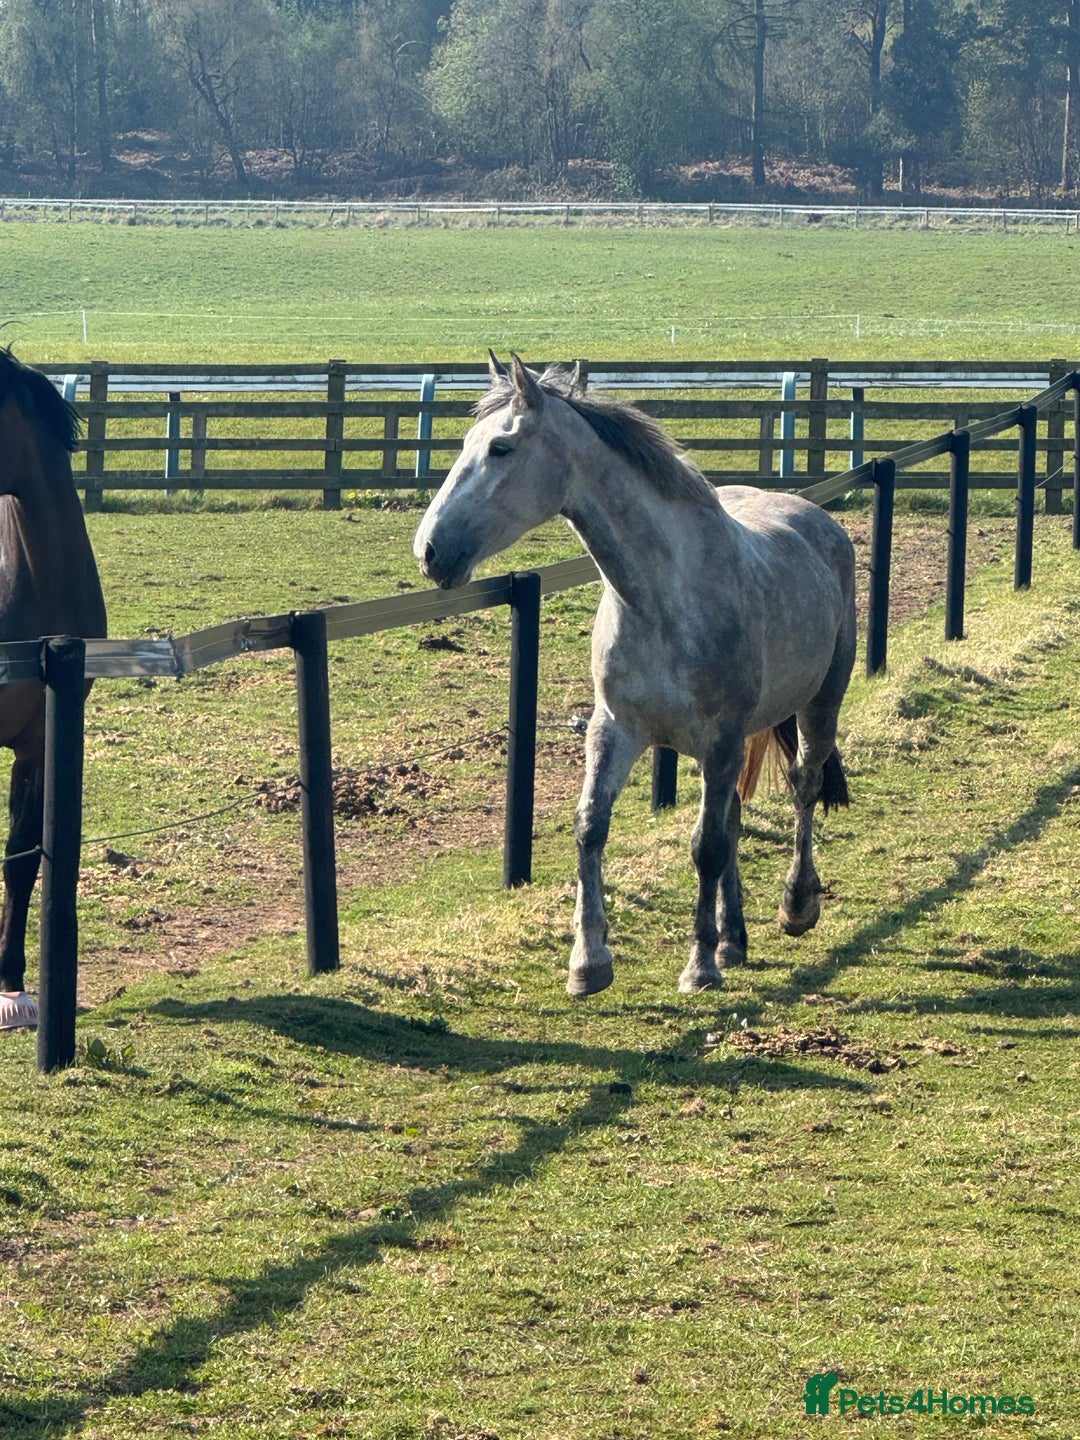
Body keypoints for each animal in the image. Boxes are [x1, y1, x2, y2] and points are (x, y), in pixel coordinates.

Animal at [414, 353, 856, 999]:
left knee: (804, 783)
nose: (430, 551)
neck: (660, 598)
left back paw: (796, 906)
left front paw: (699, 966)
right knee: (737, 814)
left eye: (501, 447)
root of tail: (818, 521)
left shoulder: (721, 740)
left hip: (819, 704)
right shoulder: (615, 729)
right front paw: (588, 961)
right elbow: (591, 827)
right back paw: (734, 938)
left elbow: (706, 845)